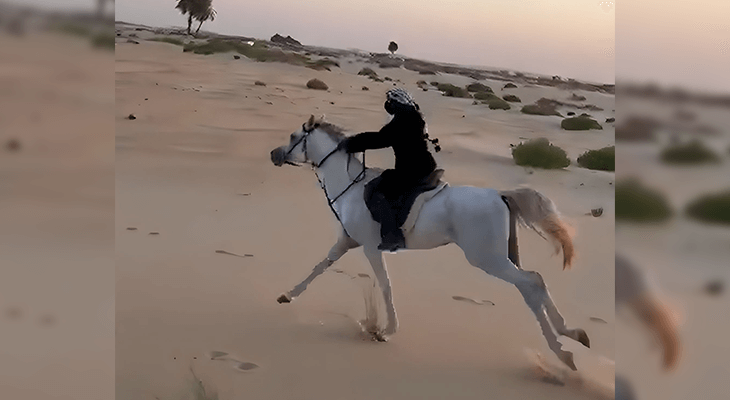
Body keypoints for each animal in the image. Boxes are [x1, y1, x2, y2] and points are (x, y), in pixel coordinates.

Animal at [270, 115, 590, 370]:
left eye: (294, 137)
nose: (274, 154)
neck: (351, 186)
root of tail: (500, 195)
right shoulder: (347, 242)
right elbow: (321, 265)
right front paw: (288, 295)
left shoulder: (371, 248)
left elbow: (384, 284)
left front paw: (387, 330)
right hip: (499, 258)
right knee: (534, 285)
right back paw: (572, 336)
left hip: (486, 258)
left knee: (531, 283)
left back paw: (564, 351)